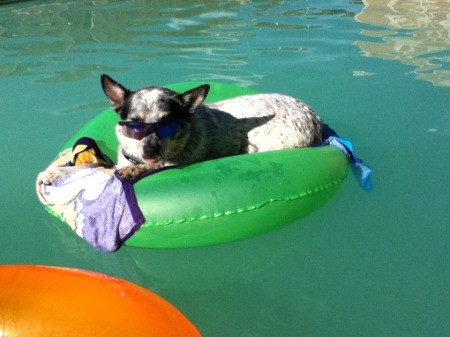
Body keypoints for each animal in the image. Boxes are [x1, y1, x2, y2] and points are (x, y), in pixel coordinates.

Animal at [100, 74, 326, 181]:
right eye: (134, 125)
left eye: (168, 125)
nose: (150, 150)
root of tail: (315, 117)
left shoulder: (175, 162)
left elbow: (154, 166)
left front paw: (133, 171)